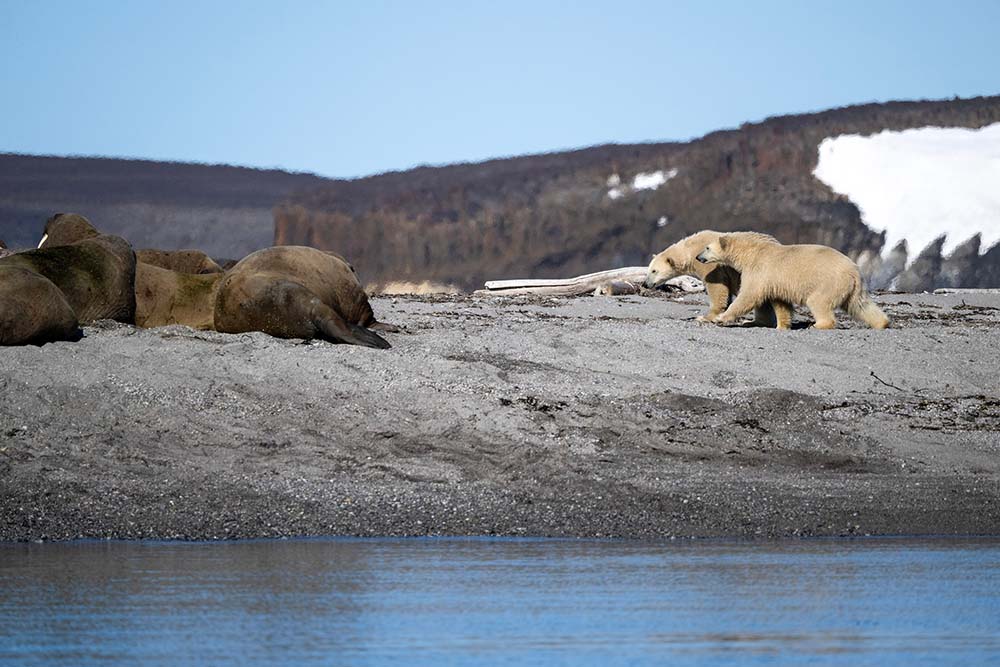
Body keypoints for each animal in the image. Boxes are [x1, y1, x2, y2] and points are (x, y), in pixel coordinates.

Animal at [696, 232, 892, 332]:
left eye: (707, 247)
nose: (698, 257)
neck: (751, 252)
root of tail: (854, 271)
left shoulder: (759, 271)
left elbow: (748, 296)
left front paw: (721, 318)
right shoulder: (774, 281)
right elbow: (780, 303)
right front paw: (782, 325)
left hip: (829, 283)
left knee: (818, 302)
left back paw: (818, 324)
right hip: (852, 288)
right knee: (860, 305)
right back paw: (882, 323)